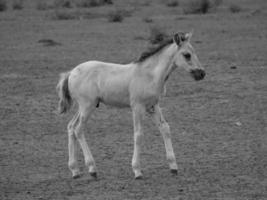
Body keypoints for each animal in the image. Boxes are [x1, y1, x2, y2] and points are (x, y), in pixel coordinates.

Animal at [56, 31, 206, 180]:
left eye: (194, 52)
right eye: (187, 55)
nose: (202, 73)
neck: (150, 75)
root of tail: (71, 73)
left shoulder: (153, 106)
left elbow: (165, 129)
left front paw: (173, 167)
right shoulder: (137, 107)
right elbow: (138, 135)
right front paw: (137, 170)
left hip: (83, 107)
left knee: (71, 127)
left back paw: (75, 170)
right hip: (87, 106)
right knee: (78, 130)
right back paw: (92, 169)